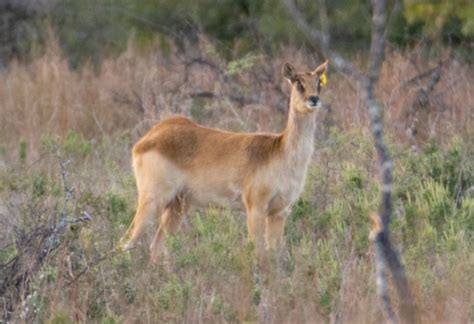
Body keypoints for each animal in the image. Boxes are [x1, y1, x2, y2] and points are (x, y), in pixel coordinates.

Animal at [119, 60, 330, 262]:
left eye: (318, 82)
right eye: (298, 82)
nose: (314, 99)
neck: (279, 152)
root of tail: (149, 137)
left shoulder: (280, 212)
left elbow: (274, 254)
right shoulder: (255, 208)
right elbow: (258, 253)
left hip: (178, 205)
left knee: (156, 247)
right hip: (153, 200)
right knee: (126, 242)